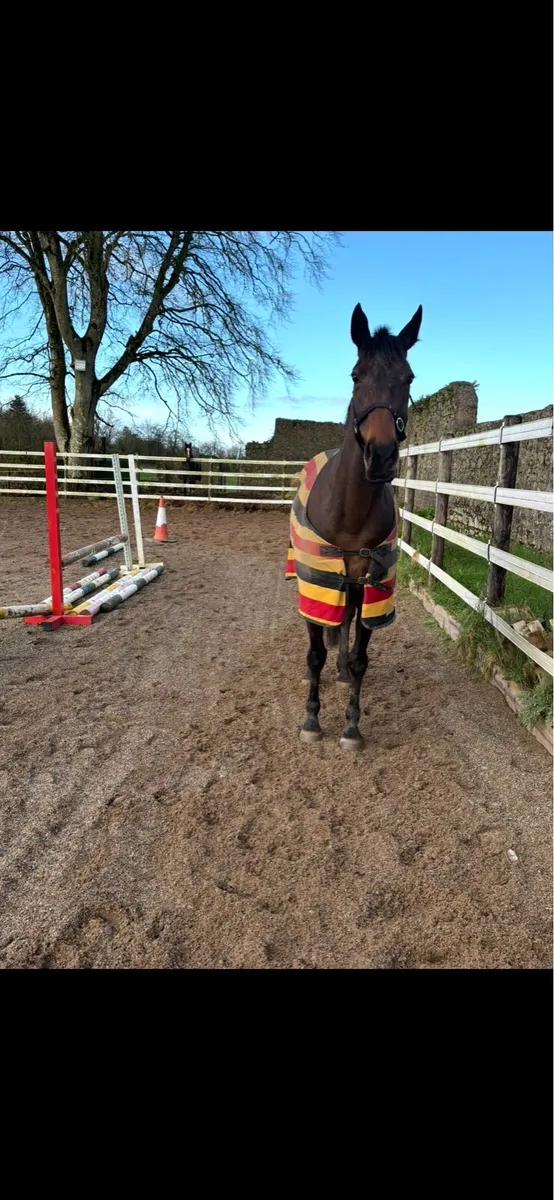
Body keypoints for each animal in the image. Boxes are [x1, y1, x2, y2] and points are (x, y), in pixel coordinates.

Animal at [286, 301, 422, 750]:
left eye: (408, 378)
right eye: (356, 375)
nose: (380, 456)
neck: (349, 510)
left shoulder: (370, 583)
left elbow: (361, 655)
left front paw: (351, 726)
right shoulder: (317, 578)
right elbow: (315, 653)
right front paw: (311, 720)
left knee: (345, 623)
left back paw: (342, 669)